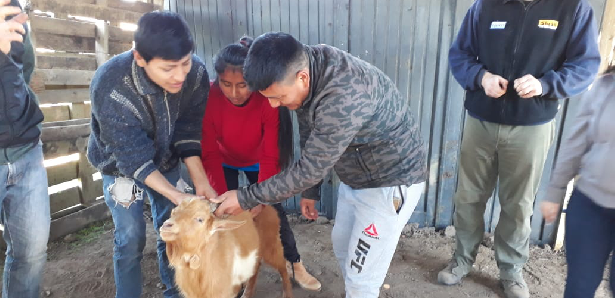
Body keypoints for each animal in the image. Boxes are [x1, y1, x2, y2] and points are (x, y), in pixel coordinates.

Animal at [159, 198, 294, 298]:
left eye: (200, 219)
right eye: (173, 212)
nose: (166, 226)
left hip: (271, 243)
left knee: (282, 265)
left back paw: (287, 294)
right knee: (255, 267)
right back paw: (247, 294)